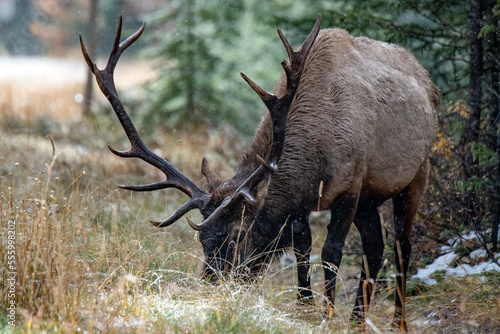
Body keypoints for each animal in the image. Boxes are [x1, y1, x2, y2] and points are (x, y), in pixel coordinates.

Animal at [81, 14, 438, 330]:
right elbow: (303, 250)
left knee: (401, 247)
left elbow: (330, 253)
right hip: (371, 199)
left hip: (417, 174)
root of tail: (427, 78)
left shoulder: (351, 185)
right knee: (375, 248)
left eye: (239, 234)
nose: (211, 285)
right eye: (201, 240)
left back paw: (397, 321)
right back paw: (357, 320)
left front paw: (326, 315)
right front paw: (305, 306)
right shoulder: (306, 203)